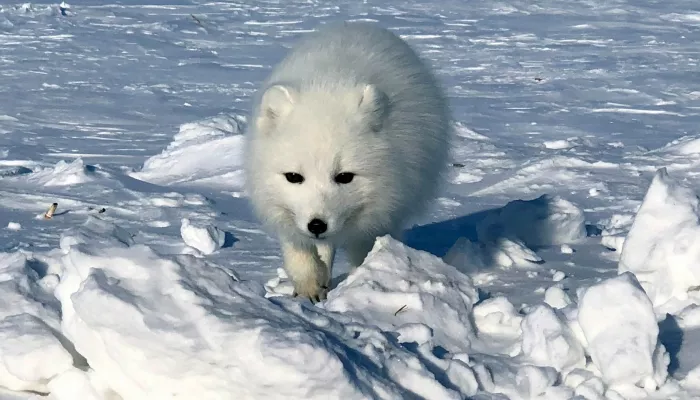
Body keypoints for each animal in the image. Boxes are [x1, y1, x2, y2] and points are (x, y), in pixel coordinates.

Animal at [246, 21, 452, 300]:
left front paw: (363, 282)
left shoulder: (381, 214)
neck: (328, 83)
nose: (317, 225)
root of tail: (359, 24)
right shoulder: (281, 209)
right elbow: (299, 252)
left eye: (344, 177)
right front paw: (309, 288)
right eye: (293, 177)